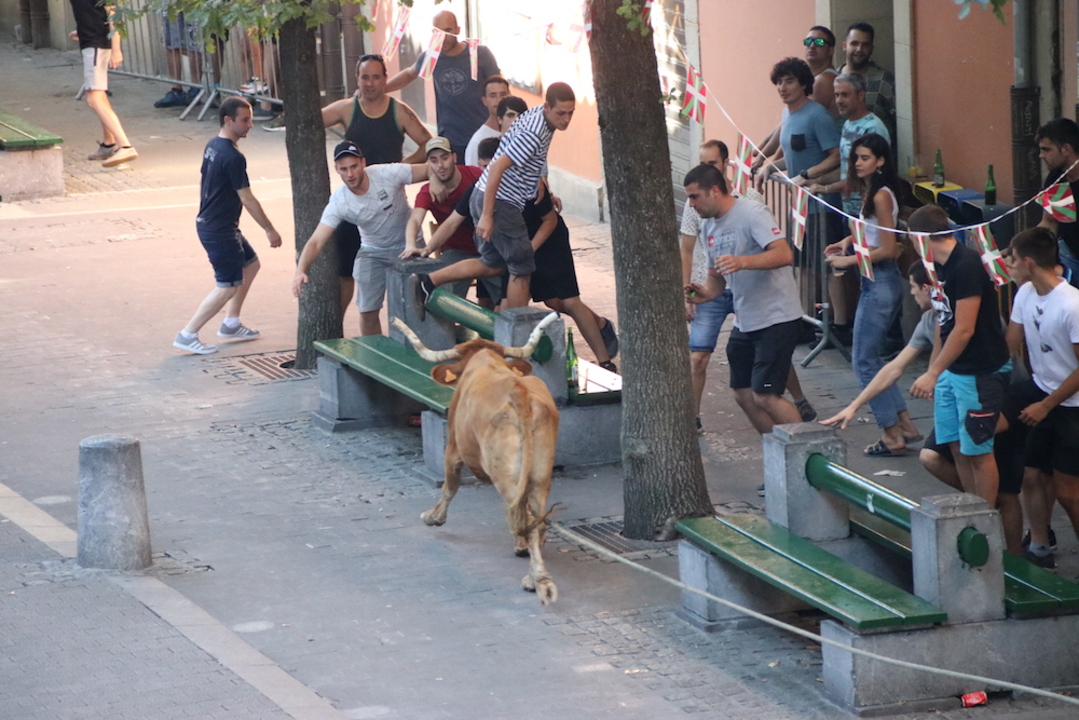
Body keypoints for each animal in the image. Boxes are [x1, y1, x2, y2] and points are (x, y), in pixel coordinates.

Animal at [391, 313, 561, 604]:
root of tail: (519, 392)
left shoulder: (452, 448)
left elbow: (449, 486)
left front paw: (433, 517)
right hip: (541, 475)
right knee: (534, 518)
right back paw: (535, 572)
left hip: (506, 474)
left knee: (522, 516)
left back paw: (534, 578)